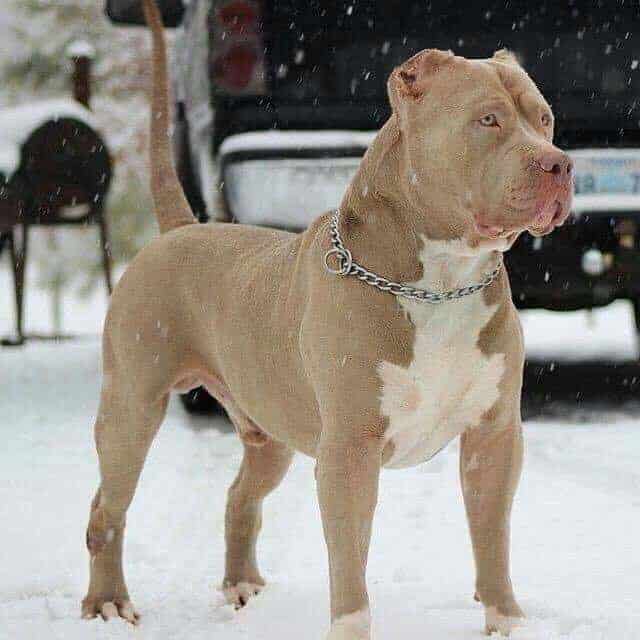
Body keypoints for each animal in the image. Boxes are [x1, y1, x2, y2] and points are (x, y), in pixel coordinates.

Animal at [81, 2, 576, 636]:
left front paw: (508, 620)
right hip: (132, 407)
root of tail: (182, 229)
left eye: (545, 119)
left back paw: (241, 586)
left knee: (240, 496)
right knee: (107, 508)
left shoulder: (494, 437)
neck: (441, 282)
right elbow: (349, 567)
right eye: (487, 120)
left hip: (270, 431)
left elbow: (492, 541)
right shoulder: (350, 453)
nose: (560, 164)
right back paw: (107, 602)